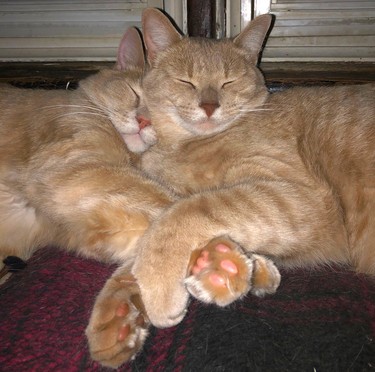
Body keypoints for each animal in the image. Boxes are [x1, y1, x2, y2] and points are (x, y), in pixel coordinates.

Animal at [86, 8, 375, 366]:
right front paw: (118, 316)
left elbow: (181, 217)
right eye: (186, 81)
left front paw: (162, 288)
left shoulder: (301, 197)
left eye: (229, 81)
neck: (183, 146)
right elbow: (146, 244)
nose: (210, 105)